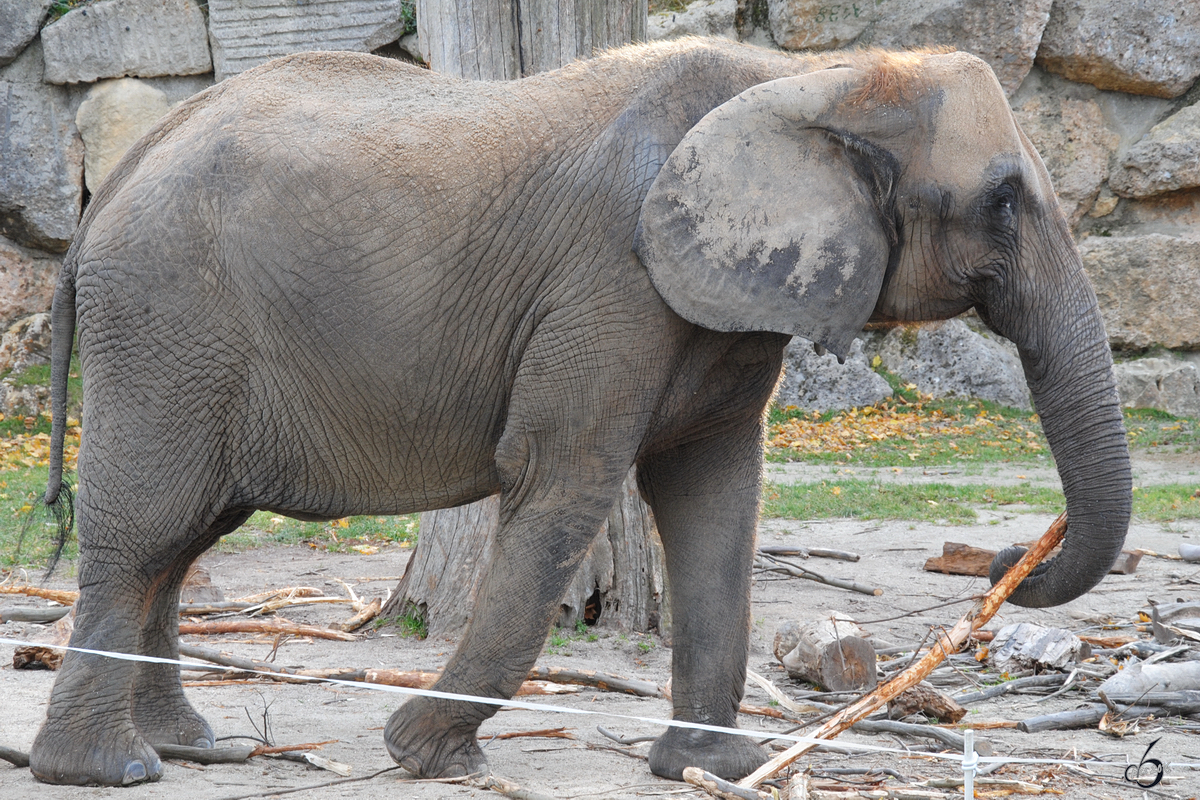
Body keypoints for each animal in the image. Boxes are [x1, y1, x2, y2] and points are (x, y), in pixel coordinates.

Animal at [30, 38, 1132, 786]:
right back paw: (114, 769)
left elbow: (714, 497)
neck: (810, 77)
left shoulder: (722, 301)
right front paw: (428, 756)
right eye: (1002, 202)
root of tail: (112, 183)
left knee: (183, 537)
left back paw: (189, 746)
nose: (1005, 559)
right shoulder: (613, 283)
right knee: (148, 532)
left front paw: (712, 768)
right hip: (170, 322)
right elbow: (564, 482)